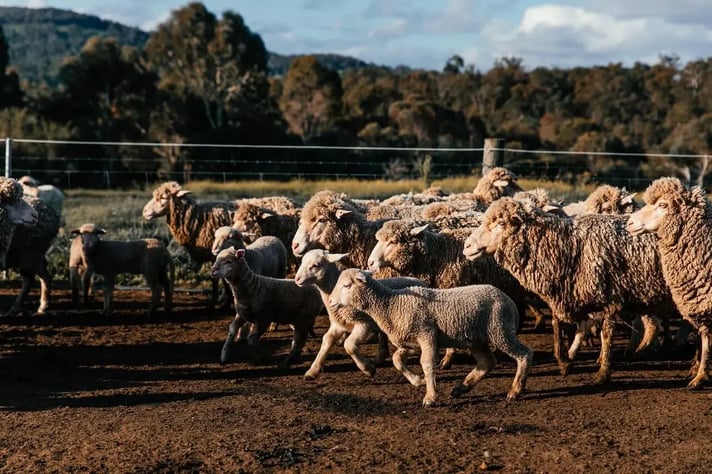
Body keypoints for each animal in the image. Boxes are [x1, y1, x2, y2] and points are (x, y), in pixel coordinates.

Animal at [294, 249, 425, 380]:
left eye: (316, 265)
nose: (297, 279)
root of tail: (417, 280)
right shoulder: (338, 324)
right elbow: (327, 340)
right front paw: (312, 371)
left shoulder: (364, 323)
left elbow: (349, 345)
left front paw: (368, 369)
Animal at [328, 268, 533, 407]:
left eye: (346, 285)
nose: (329, 301)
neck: (391, 305)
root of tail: (509, 300)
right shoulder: (411, 340)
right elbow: (396, 359)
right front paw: (417, 381)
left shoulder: (426, 333)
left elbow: (426, 363)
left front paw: (430, 396)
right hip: (478, 339)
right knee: (487, 363)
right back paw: (461, 388)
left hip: (500, 331)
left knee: (524, 354)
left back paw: (515, 390)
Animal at [463, 197, 677, 384]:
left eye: (500, 223)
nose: (467, 246)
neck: (567, 246)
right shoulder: (568, 294)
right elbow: (559, 325)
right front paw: (564, 361)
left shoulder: (609, 298)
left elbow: (606, 335)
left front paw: (602, 373)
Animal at [626, 177, 712, 389]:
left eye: (663, 205)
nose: (629, 223)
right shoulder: (701, 301)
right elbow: (706, 338)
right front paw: (700, 374)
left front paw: (700, 376)